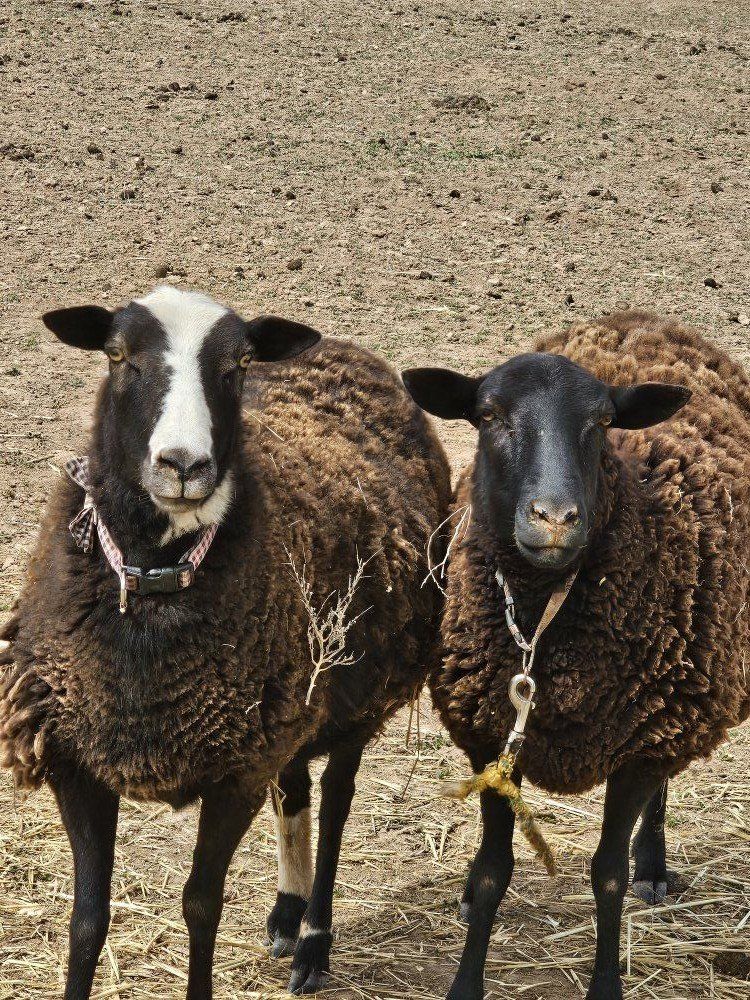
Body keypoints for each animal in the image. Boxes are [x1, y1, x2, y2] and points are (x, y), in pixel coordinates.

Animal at [0, 286, 451, 1000]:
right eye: (118, 355)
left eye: (237, 366)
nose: (185, 466)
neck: (153, 586)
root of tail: (343, 347)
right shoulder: (76, 753)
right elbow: (87, 919)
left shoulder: (238, 771)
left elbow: (201, 905)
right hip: (290, 697)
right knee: (296, 786)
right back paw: (287, 912)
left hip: (356, 696)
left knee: (335, 801)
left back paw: (313, 940)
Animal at [402, 310, 750, 1000]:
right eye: (488, 415)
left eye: (602, 422)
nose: (555, 518)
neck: (543, 620)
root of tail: (646, 317)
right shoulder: (490, 737)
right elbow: (495, 870)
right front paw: (466, 979)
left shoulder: (642, 745)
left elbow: (607, 875)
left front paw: (606, 982)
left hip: (675, 703)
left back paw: (653, 864)